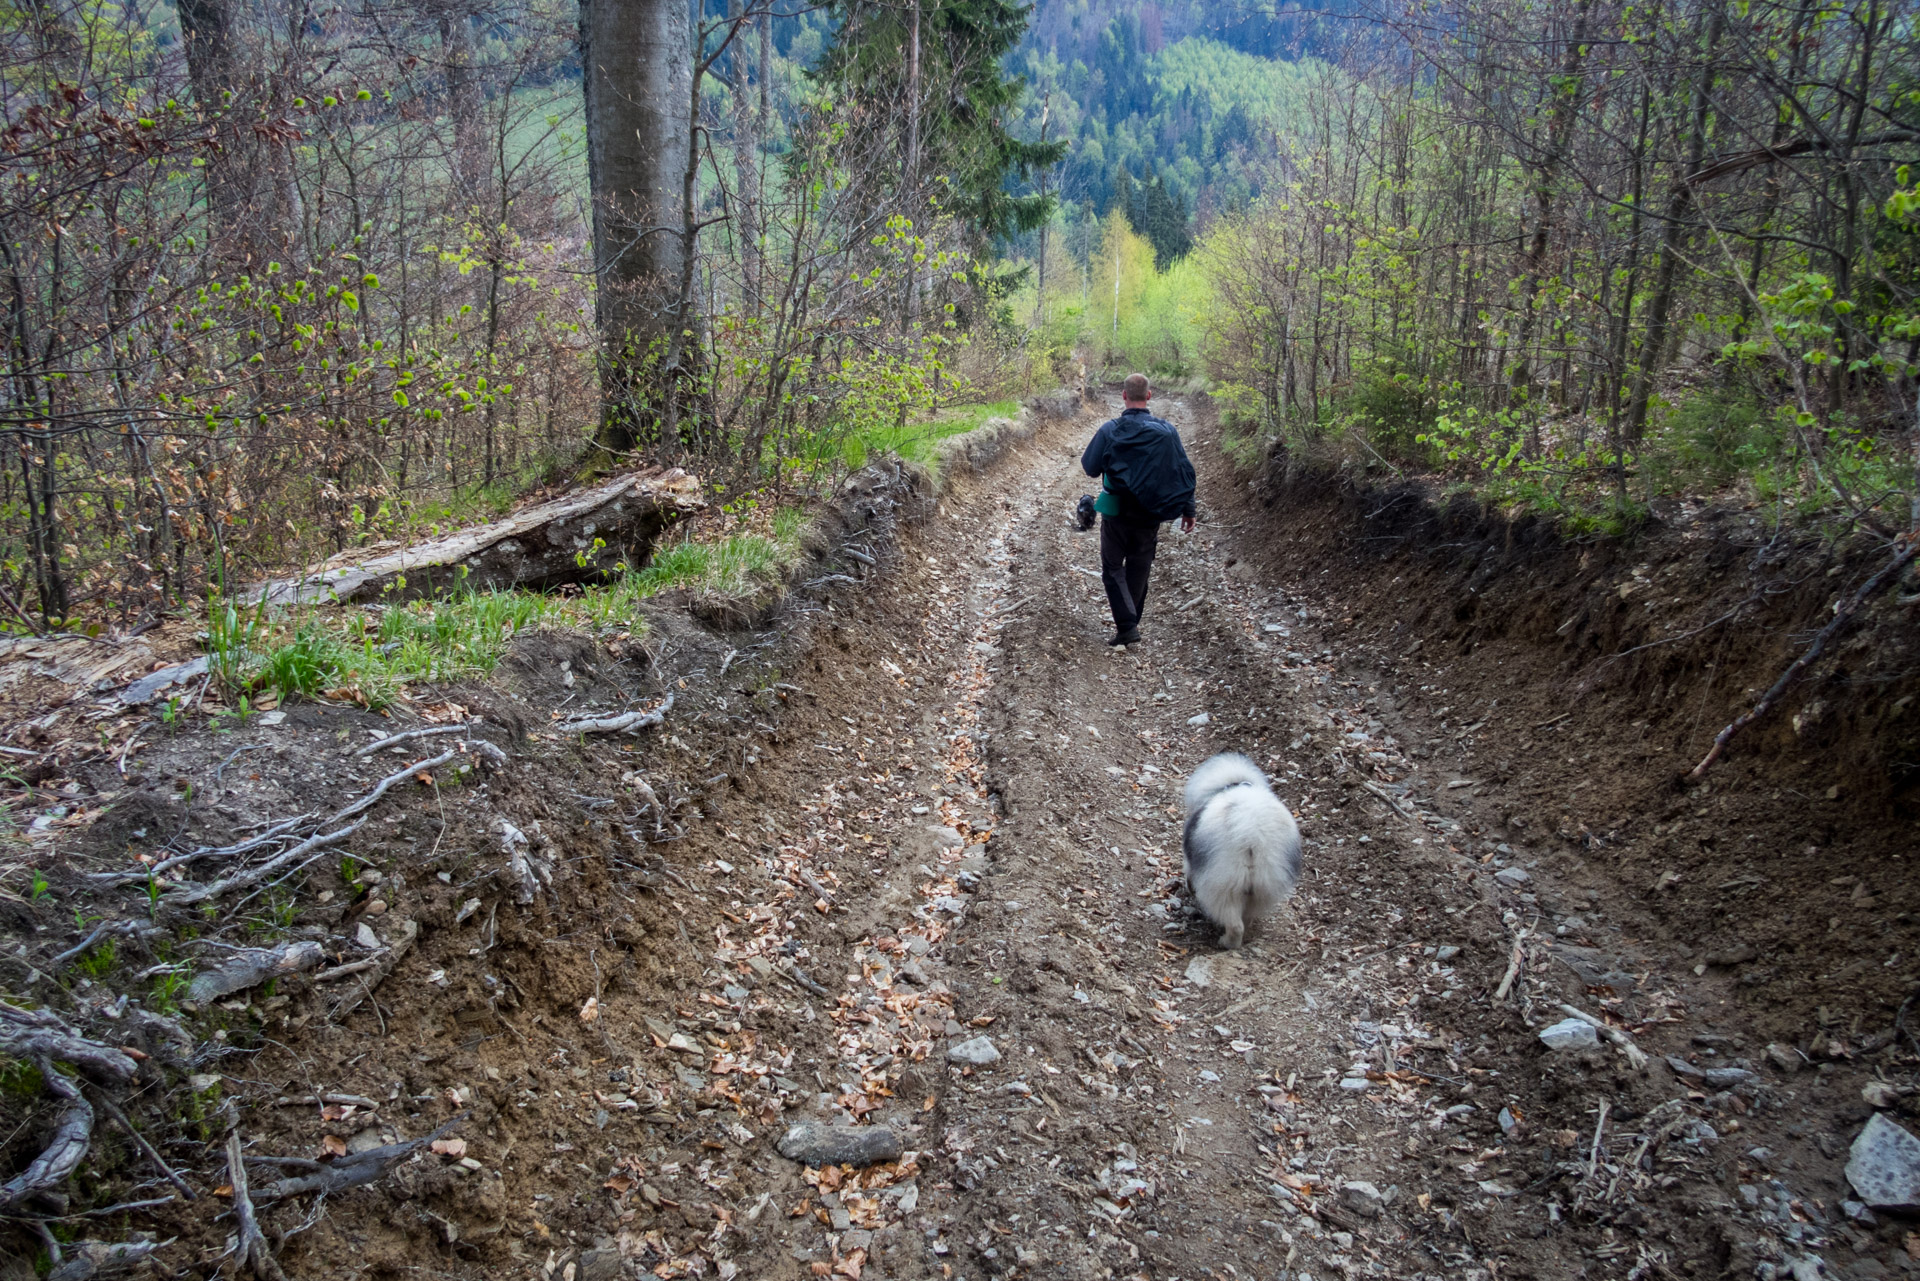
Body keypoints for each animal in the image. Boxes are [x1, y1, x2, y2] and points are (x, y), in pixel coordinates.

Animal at [1182, 752, 1305, 952]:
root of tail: (1252, 835)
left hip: (1225, 884)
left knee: (1235, 924)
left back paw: (1226, 943)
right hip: (1263, 886)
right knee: (1246, 918)